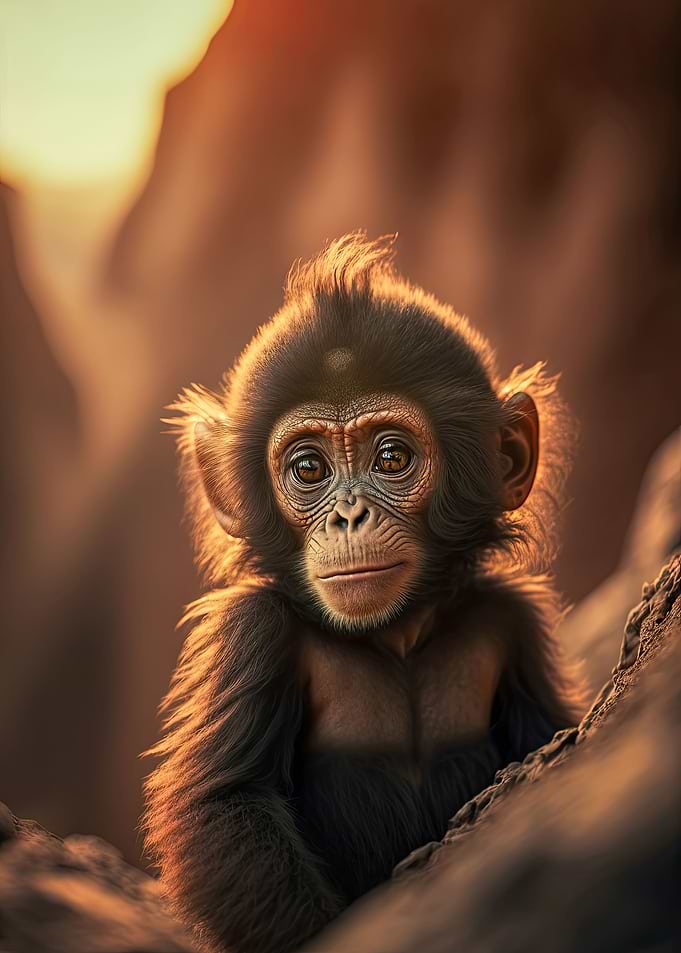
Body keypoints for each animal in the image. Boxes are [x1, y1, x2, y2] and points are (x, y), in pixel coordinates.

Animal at [144, 234, 583, 953]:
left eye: (391, 458)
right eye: (308, 468)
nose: (349, 515)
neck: (394, 633)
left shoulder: (513, 616)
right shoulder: (251, 628)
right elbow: (226, 802)